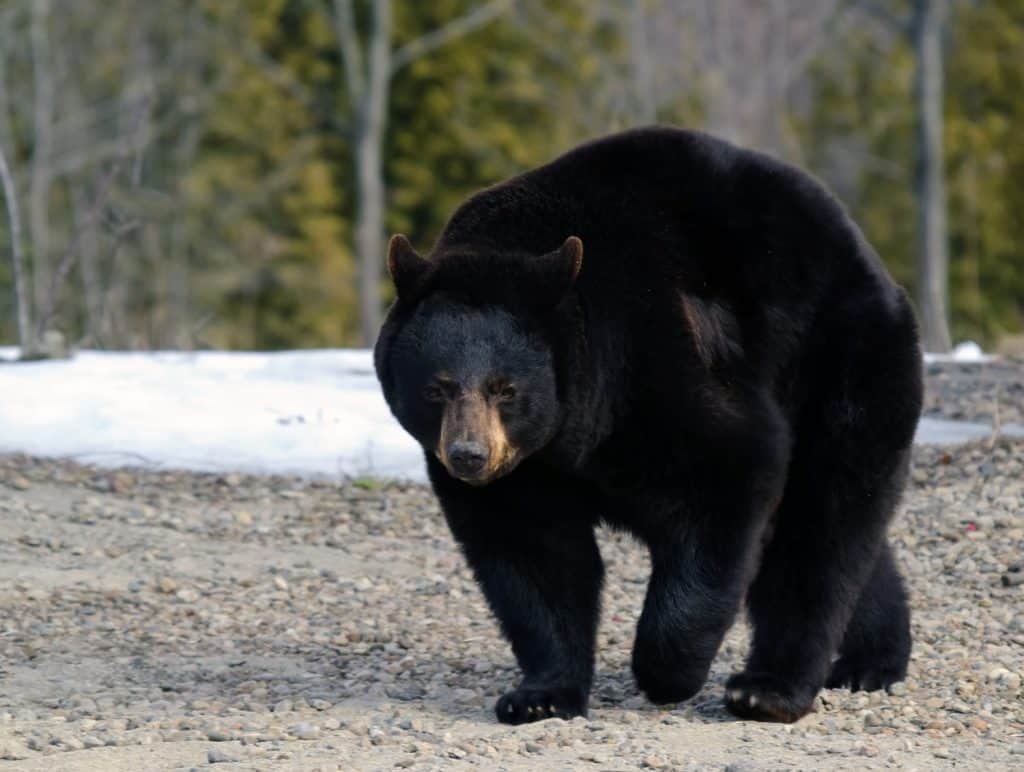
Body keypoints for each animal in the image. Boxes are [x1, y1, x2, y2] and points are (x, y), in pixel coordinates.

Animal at [374, 126, 922, 724]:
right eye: (437, 388)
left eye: (506, 388)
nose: (470, 455)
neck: (570, 427)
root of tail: (872, 264)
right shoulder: (526, 471)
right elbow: (531, 555)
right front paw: (539, 695)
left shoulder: (653, 361)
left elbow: (728, 472)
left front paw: (666, 672)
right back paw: (871, 661)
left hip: (837, 362)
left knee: (824, 522)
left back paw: (768, 689)